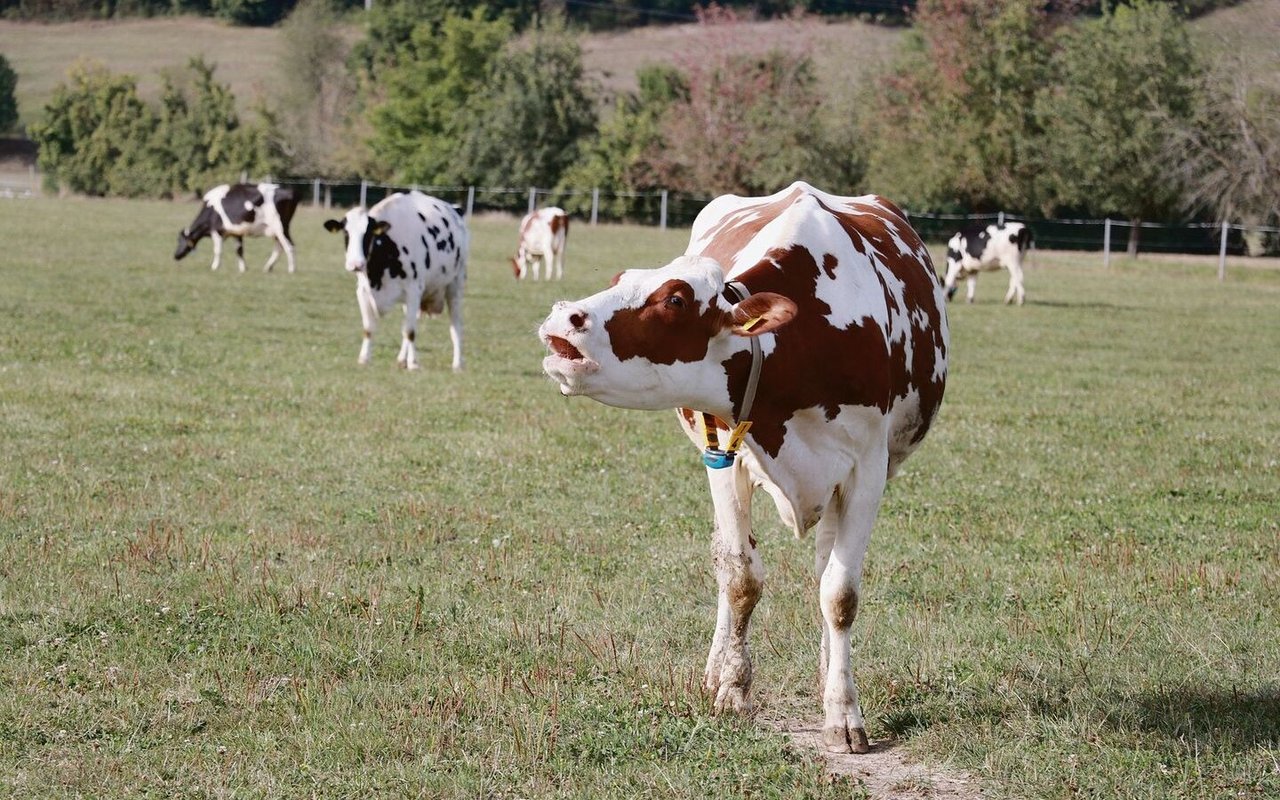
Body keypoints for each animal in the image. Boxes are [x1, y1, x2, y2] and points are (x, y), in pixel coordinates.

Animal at [325, 190, 471, 371]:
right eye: (346, 233)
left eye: (368, 233)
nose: (356, 264)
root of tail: (454, 209)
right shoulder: (363, 291)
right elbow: (369, 328)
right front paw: (364, 358)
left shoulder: (414, 290)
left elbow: (410, 331)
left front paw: (413, 363)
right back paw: (402, 359)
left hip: (455, 285)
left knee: (455, 325)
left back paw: (457, 363)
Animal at [535, 180, 947, 752]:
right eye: (618, 280)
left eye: (675, 300)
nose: (563, 316)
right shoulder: (726, 460)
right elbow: (739, 576)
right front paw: (731, 687)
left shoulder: (868, 470)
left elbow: (839, 594)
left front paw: (843, 710)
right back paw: (718, 666)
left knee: (823, 567)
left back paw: (826, 671)